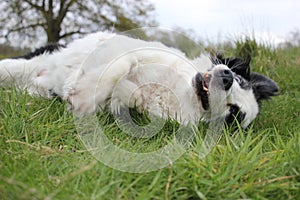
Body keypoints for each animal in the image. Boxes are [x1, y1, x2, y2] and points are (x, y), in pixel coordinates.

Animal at [0, 31, 278, 128]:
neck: (179, 90)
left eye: (234, 113)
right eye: (240, 80)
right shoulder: (131, 49)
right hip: (33, 60)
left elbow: (124, 93)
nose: (228, 76)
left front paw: (82, 96)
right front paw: (85, 92)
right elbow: (123, 62)